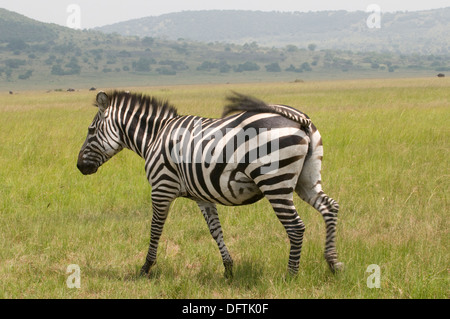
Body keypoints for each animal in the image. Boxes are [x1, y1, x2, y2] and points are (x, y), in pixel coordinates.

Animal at [78, 90, 344, 278]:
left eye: (91, 130)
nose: (79, 166)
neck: (155, 137)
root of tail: (301, 119)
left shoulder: (161, 188)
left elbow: (155, 229)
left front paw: (145, 268)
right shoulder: (202, 195)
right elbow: (215, 230)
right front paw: (228, 269)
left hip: (275, 183)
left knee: (296, 227)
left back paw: (290, 276)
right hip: (306, 179)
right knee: (330, 207)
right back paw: (333, 264)